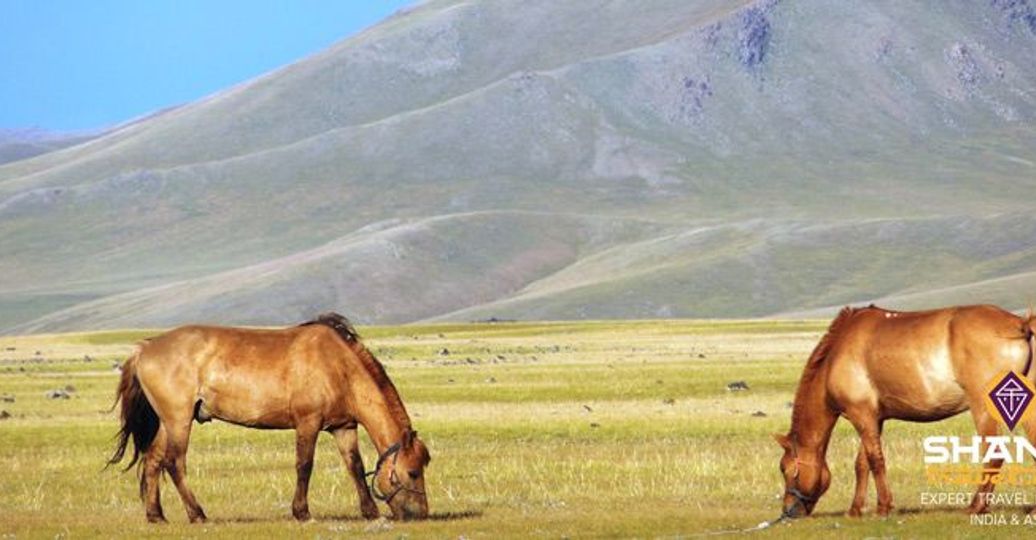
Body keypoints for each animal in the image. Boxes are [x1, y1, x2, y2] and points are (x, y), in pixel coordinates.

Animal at [107, 312, 430, 523]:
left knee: (153, 461)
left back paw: (156, 516)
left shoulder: (343, 427)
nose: (421, 515)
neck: (338, 367)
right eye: (413, 472)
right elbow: (304, 465)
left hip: (168, 421)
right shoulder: (308, 423)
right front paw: (302, 512)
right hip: (178, 420)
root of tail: (145, 348)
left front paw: (370, 512)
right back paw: (197, 514)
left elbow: (355, 466)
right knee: (174, 462)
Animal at [775, 304, 1036, 518]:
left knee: (994, 454)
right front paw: (855, 509)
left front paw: (883, 506)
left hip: (983, 407)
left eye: (786, 469)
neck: (836, 356)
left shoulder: (861, 416)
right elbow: (862, 463)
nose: (788, 511)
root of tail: (1020, 324)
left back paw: (977, 506)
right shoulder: (874, 418)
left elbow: (875, 460)